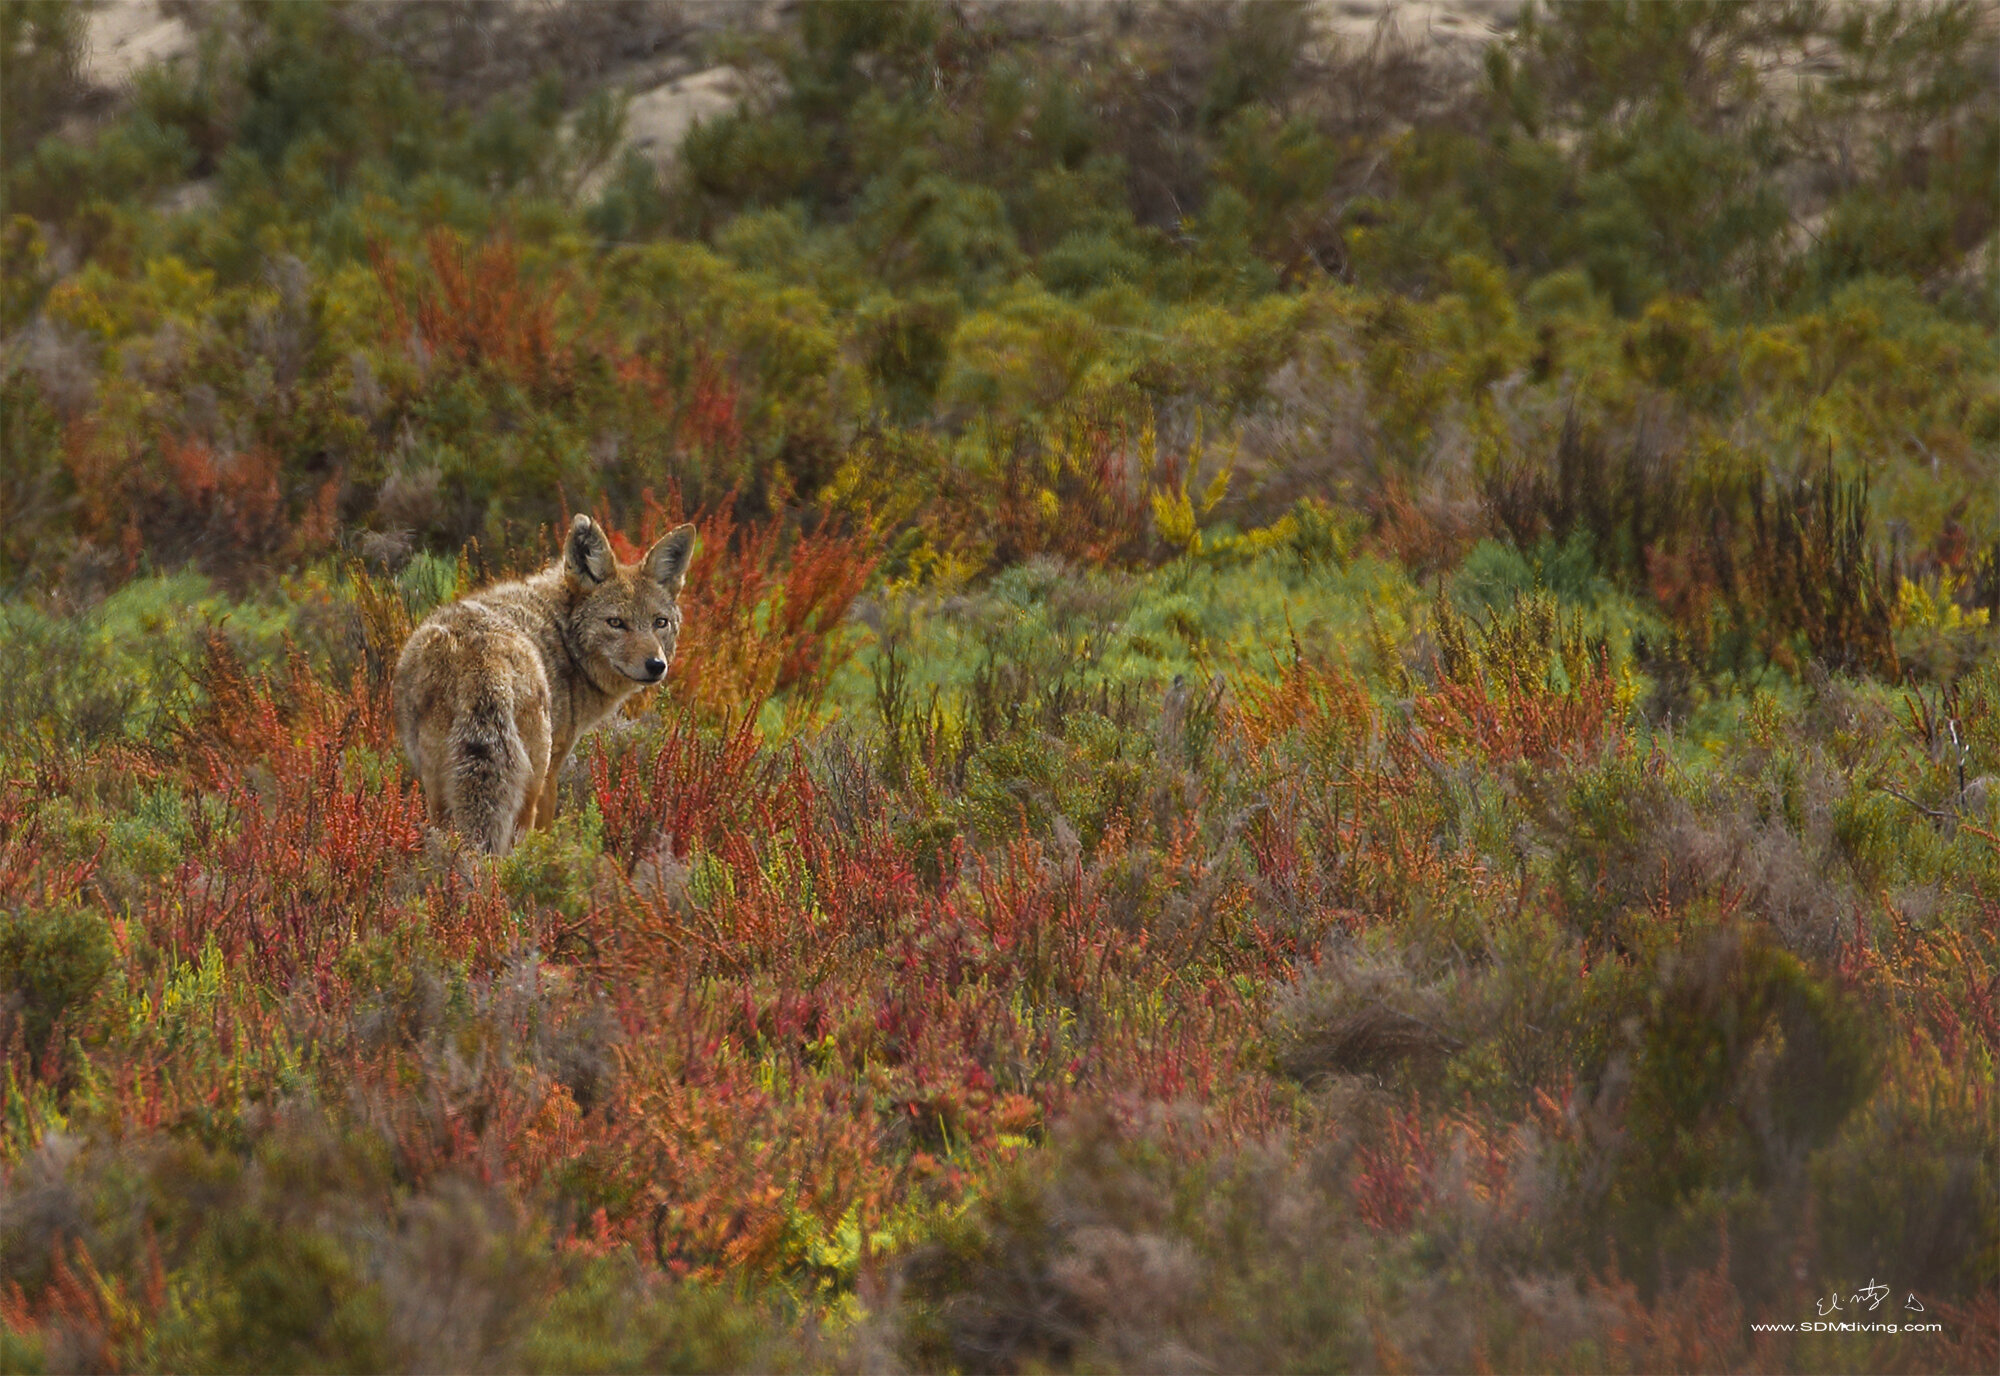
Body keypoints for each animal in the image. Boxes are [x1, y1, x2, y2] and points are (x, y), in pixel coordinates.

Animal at [394, 514, 697, 854]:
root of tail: (482, 661)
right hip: (529, 782)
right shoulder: (554, 770)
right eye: (616, 623)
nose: (656, 665)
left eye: (660, 623)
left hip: (438, 787)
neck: (564, 635)